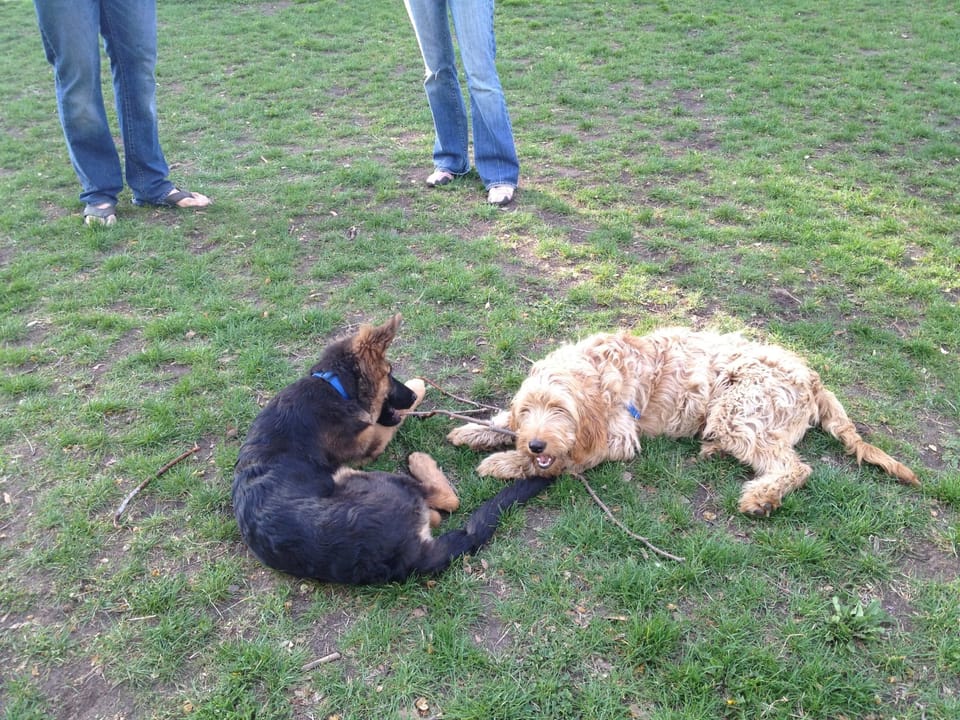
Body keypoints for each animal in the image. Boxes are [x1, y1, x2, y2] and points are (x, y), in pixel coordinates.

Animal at [232, 316, 556, 584]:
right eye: (389, 372)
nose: (409, 394)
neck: (333, 386)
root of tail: (411, 555)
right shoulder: (369, 438)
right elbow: (391, 421)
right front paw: (419, 386)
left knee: (439, 512)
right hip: (362, 476)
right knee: (449, 500)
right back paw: (420, 461)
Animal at [450, 326, 924, 516]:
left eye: (561, 411)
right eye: (529, 410)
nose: (536, 444)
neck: (595, 376)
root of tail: (813, 377)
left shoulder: (617, 437)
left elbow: (565, 460)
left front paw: (505, 463)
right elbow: (502, 421)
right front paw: (477, 430)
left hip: (739, 407)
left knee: (793, 466)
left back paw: (762, 497)